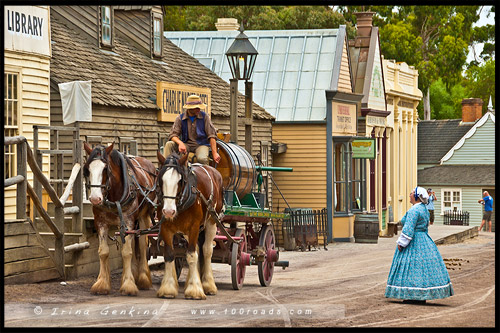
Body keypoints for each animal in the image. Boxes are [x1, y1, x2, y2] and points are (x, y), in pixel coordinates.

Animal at [83, 141, 156, 294]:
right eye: (87, 169)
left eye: (105, 169)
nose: (95, 198)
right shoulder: (101, 222)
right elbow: (104, 252)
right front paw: (102, 283)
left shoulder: (128, 221)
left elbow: (126, 252)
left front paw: (128, 284)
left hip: (143, 216)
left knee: (142, 244)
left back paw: (143, 278)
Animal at [157, 150, 224, 298]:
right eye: (160, 179)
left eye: (180, 181)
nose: (168, 211)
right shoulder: (165, 228)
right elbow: (169, 254)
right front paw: (168, 288)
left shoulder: (194, 227)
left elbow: (192, 255)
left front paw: (194, 290)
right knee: (198, 249)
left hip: (211, 222)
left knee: (206, 250)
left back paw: (208, 285)